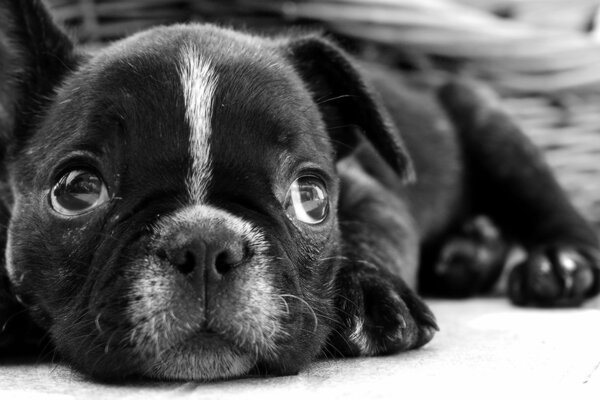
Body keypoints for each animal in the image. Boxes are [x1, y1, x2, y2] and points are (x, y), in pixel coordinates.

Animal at [1, 0, 600, 382]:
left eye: (310, 198)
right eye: (77, 191)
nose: (205, 243)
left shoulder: (371, 194)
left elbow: (370, 234)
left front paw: (371, 294)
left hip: (487, 119)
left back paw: (558, 264)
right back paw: (468, 254)